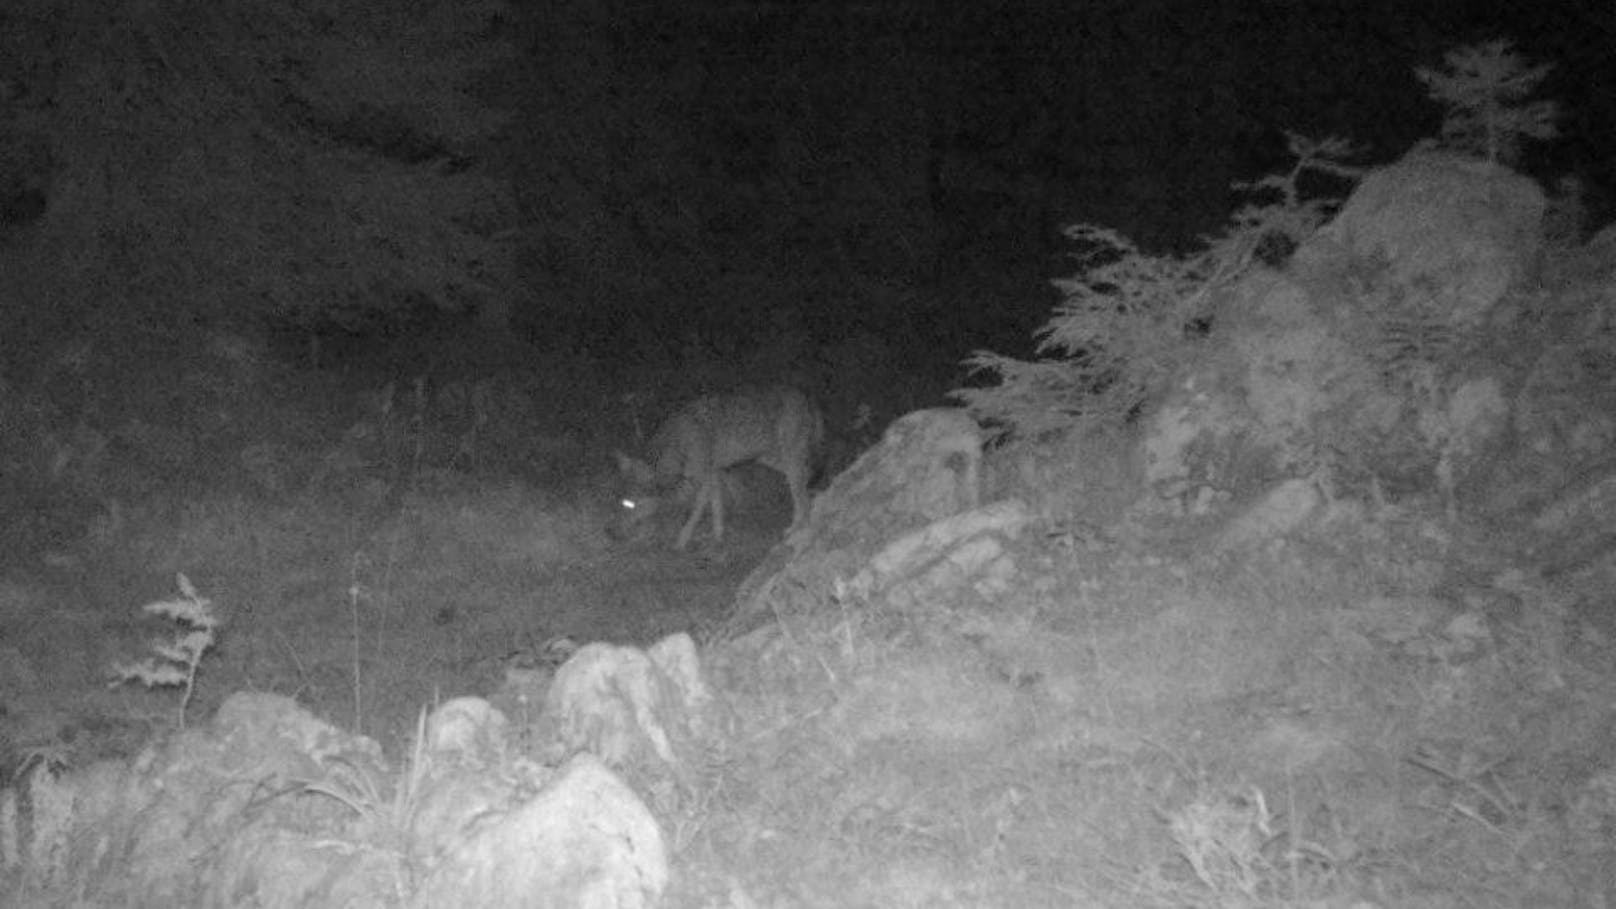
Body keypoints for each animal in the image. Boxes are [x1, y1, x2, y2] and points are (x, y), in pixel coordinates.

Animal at [614, 384, 827, 549]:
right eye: (622, 502)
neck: (679, 442)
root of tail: (806, 396)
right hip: (770, 460)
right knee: (806, 480)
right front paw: (717, 538)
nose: (613, 532)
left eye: (631, 505)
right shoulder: (714, 474)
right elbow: (717, 508)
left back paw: (797, 528)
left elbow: (696, 513)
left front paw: (681, 541)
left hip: (788, 459)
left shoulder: (704, 479)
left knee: (801, 495)